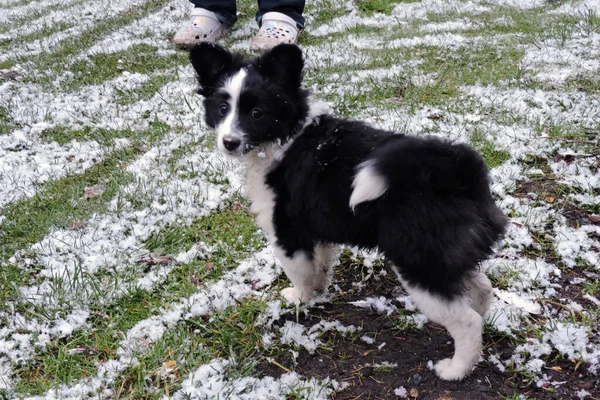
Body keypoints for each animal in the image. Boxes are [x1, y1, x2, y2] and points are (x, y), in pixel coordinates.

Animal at [189, 43, 506, 382]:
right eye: (223, 108)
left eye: (256, 113)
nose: (229, 142)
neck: (289, 136)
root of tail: (457, 169)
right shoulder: (319, 231)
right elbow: (321, 265)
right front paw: (320, 291)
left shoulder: (287, 232)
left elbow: (299, 271)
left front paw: (300, 299)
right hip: (447, 256)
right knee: (482, 289)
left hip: (420, 264)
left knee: (466, 320)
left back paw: (456, 369)